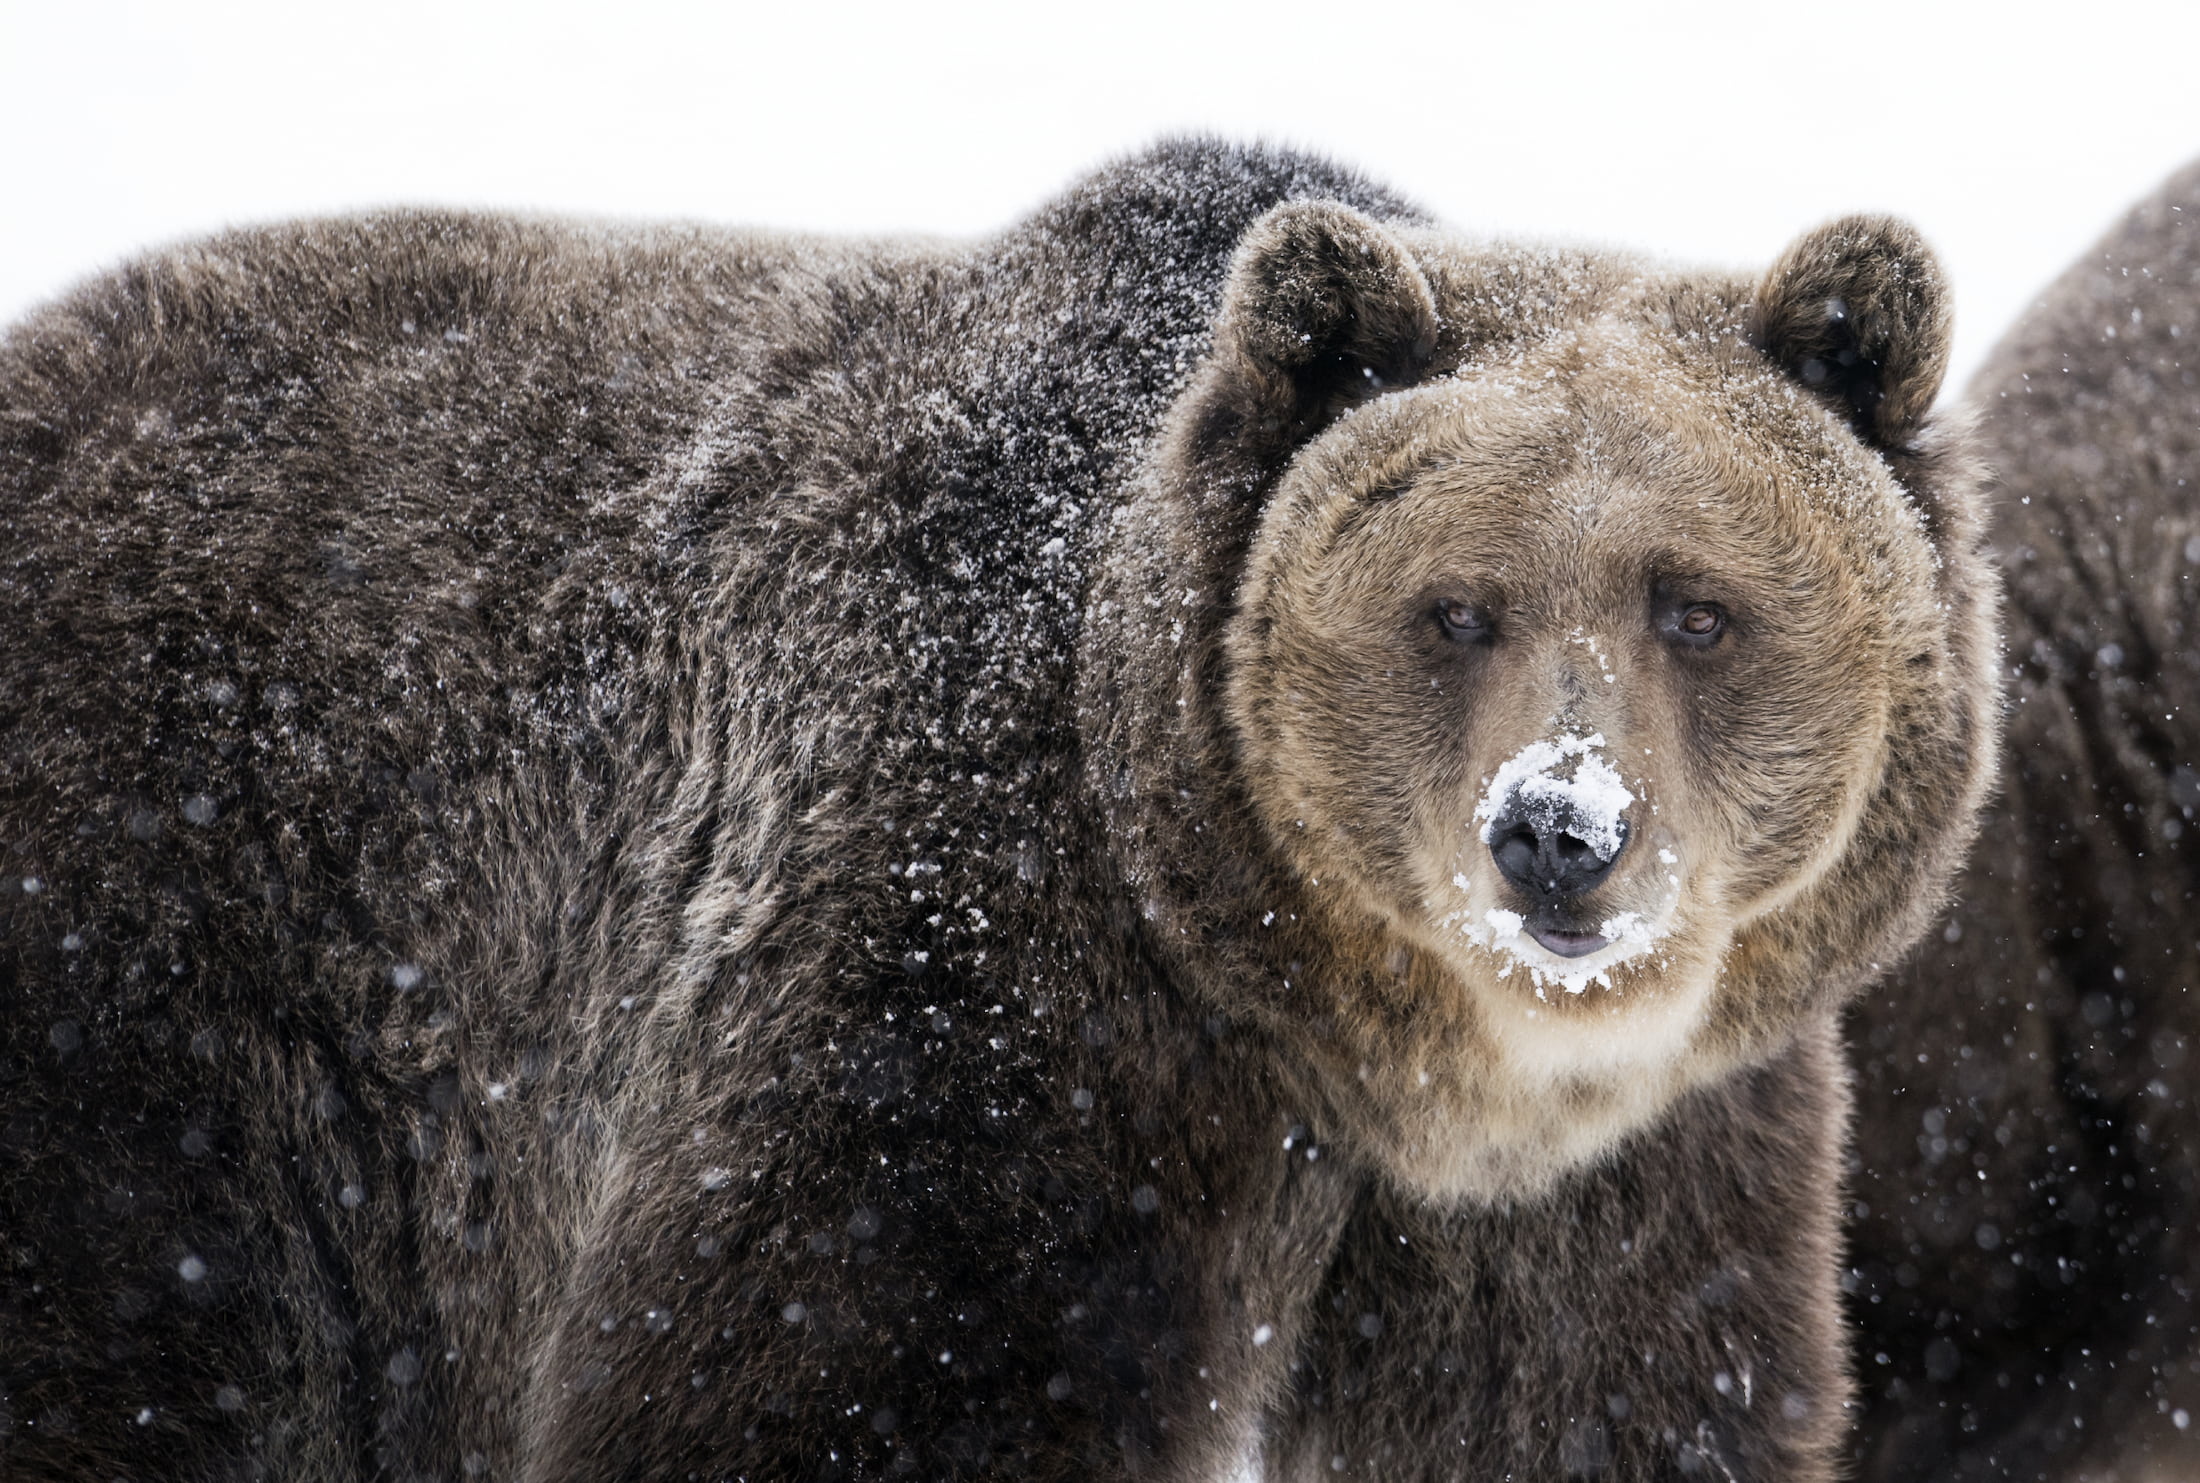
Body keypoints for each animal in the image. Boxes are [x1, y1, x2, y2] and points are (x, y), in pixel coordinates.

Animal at [0, 138, 1994, 1482]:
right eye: (1456, 607)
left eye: (1697, 604)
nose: (1559, 832)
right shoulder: (979, 966)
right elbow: (856, 1372)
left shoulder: (1620, 1185)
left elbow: (1603, 1398)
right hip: (183, 967)